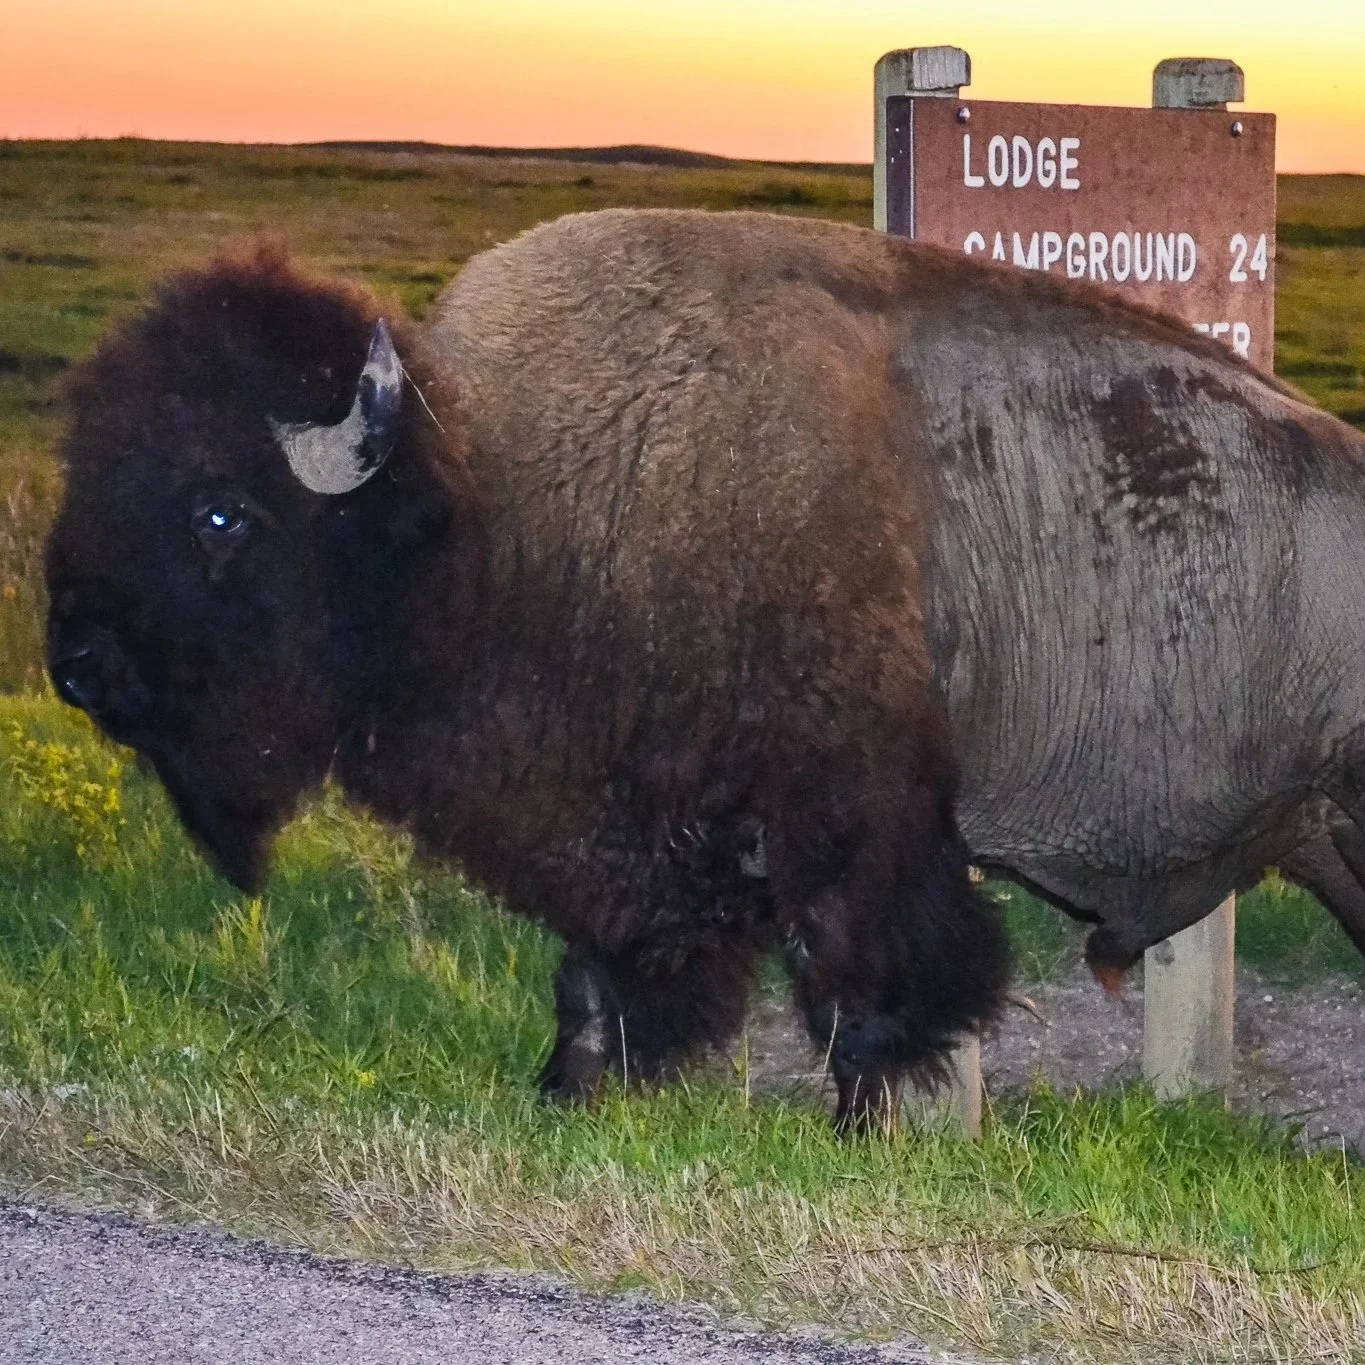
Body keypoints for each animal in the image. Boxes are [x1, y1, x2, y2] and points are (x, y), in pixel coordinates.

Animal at [45, 210, 1365, 1129]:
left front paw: (866, 1130)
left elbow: (870, 988)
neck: (500, 500)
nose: (75, 662)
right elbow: (602, 978)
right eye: (90, 470)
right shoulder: (623, 845)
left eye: (219, 512)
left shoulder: (858, 821)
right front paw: (573, 1092)